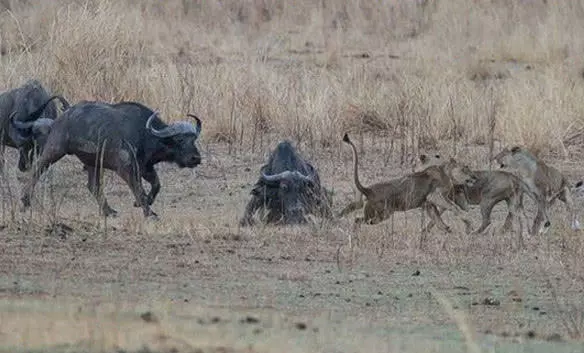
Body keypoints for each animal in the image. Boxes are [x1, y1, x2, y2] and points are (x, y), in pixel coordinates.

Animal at [14, 99, 202, 219]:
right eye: (180, 140)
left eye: (193, 139)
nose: (196, 158)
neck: (145, 134)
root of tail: (59, 119)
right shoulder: (126, 169)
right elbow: (138, 189)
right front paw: (149, 212)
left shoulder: (145, 167)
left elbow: (156, 185)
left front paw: (142, 204)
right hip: (55, 149)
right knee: (37, 169)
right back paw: (25, 201)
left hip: (93, 163)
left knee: (93, 186)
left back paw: (108, 211)